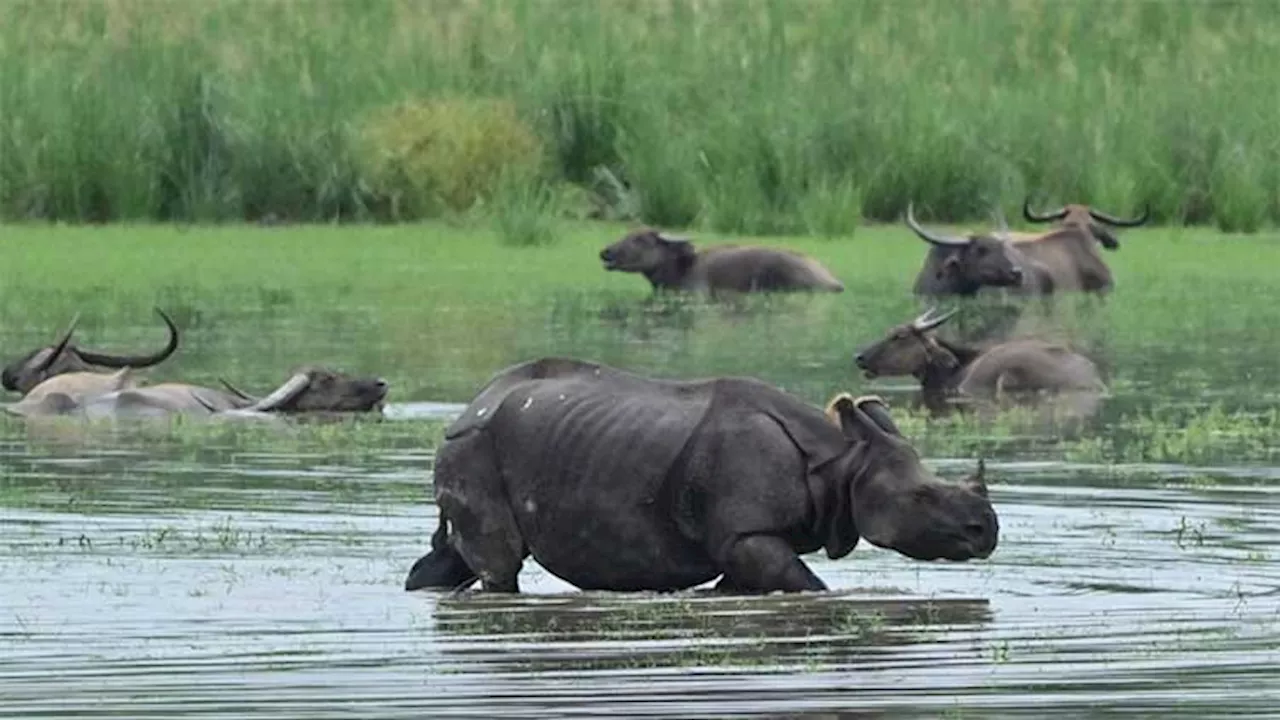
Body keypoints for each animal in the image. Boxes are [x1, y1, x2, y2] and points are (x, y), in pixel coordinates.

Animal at [404, 353, 993, 594]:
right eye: (923, 497)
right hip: (475, 446)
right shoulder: (745, 533)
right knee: (500, 564)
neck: (842, 463)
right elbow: (812, 588)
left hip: (483, 444)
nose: (988, 530)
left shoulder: (745, 539)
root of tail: (472, 405)